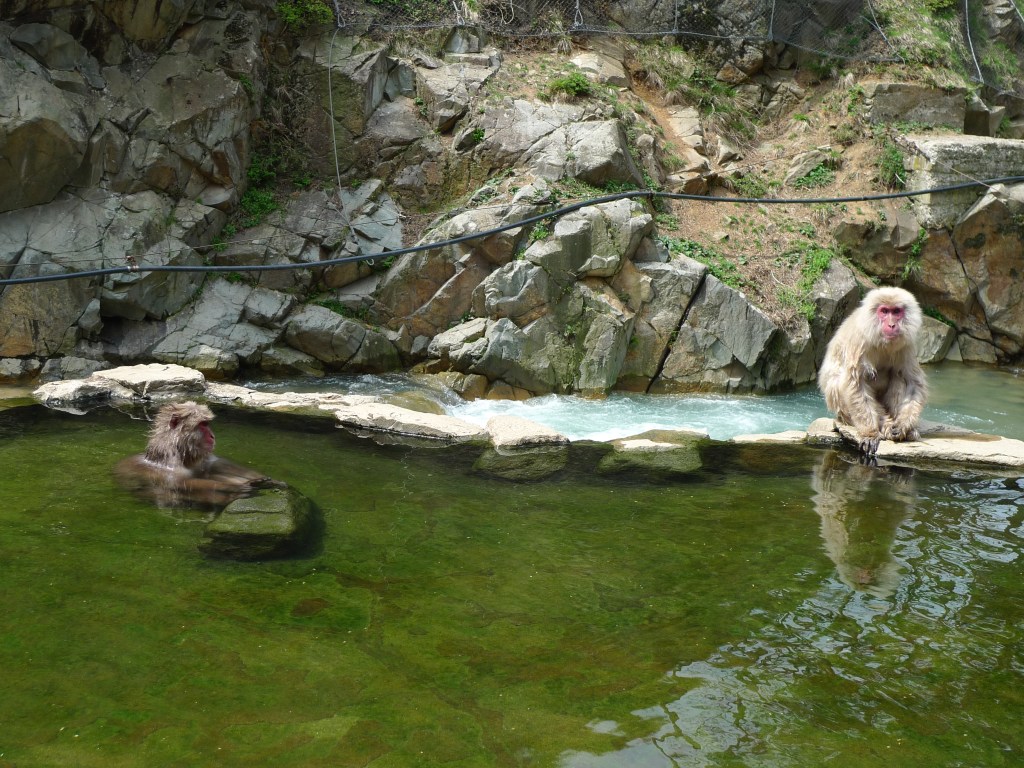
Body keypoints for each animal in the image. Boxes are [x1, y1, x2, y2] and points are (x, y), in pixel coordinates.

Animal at [115, 401, 284, 508]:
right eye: (203, 425)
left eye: (207, 423)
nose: (212, 436)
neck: (180, 449)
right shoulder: (171, 461)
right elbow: (178, 483)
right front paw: (232, 488)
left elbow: (214, 463)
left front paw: (264, 479)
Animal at [818, 286, 928, 456]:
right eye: (884, 311)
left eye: (896, 311)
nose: (891, 325)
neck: (881, 341)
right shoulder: (859, 340)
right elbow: (856, 383)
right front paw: (870, 433)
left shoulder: (906, 344)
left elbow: (913, 382)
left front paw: (903, 425)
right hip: (843, 412)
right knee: (837, 384)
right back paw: (885, 424)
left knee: (898, 375)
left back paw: (906, 429)